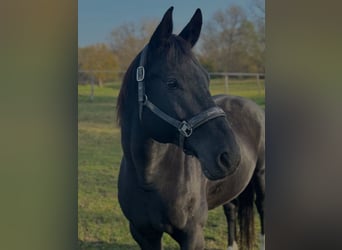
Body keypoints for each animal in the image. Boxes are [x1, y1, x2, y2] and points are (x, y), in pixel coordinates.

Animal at [117, 6, 264, 249]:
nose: (230, 155)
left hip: (261, 177)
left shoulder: (192, 236)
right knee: (231, 210)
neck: (149, 178)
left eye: (207, 78)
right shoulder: (143, 234)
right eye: (171, 83)